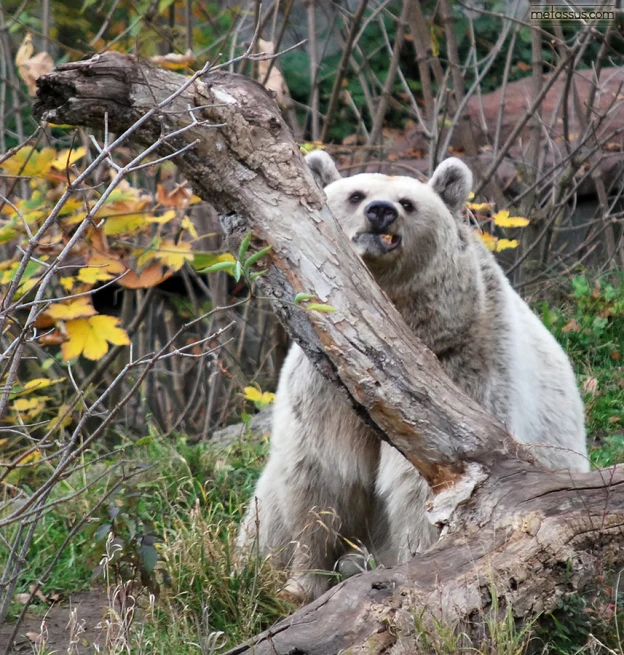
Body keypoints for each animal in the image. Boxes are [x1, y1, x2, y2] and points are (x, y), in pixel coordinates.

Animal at [236, 151, 588, 604]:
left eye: (408, 202)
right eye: (356, 194)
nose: (380, 212)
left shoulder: (460, 372)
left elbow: (425, 487)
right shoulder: (325, 386)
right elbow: (323, 473)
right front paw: (301, 583)